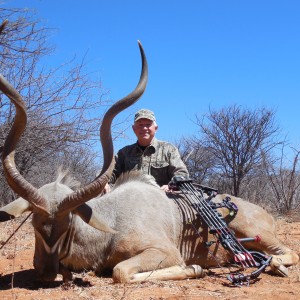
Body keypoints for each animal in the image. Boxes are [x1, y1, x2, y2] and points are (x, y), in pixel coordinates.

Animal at [0, 43, 298, 284]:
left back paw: (272, 265)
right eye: (34, 225)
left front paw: (195, 269)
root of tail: (266, 214)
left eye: (67, 224)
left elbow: (121, 272)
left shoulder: (163, 252)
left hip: (257, 234)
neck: (112, 222)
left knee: (288, 254)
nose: (46, 273)